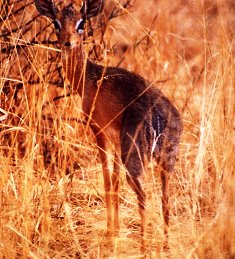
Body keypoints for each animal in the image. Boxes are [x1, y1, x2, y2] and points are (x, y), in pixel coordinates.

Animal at [34, 0, 183, 248]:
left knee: (143, 195)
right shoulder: (114, 138)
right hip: (166, 161)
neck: (88, 77)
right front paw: (115, 229)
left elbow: (106, 181)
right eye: (56, 22)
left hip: (134, 159)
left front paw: (110, 233)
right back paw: (165, 244)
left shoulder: (98, 131)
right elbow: (114, 183)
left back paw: (144, 246)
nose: (67, 41)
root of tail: (159, 116)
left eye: (81, 23)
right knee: (165, 198)